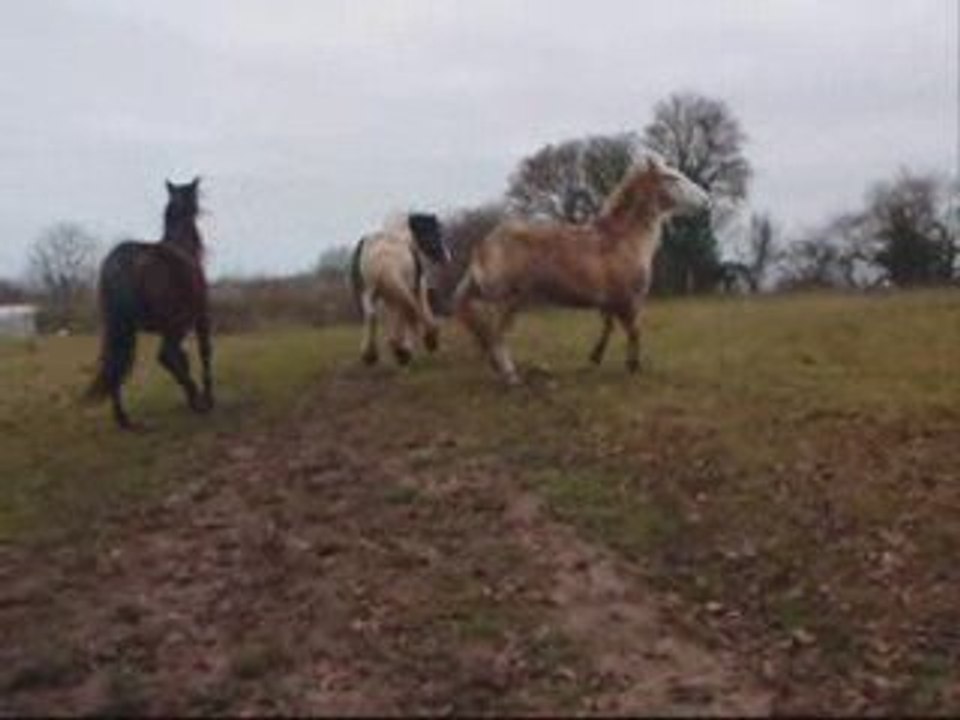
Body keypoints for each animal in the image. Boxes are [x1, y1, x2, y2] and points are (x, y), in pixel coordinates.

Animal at [84, 177, 213, 429]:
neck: (181, 246)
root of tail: (122, 261)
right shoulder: (200, 317)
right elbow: (203, 354)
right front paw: (206, 398)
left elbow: (183, 359)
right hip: (173, 324)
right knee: (164, 355)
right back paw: (196, 398)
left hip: (121, 329)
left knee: (115, 365)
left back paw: (123, 419)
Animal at [349, 213, 450, 366]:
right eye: (436, 233)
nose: (447, 257)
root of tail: (382, 255)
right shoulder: (418, 286)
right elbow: (418, 310)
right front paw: (425, 341)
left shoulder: (388, 294)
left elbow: (397, 317)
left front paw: (400, 347)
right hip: (398, 287)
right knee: (407, 311)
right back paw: (402, 350)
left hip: (370, 291)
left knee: (372, 315)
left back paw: (372, 354)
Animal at [454, 156, 711, 385]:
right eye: (672, 177)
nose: (706, 200)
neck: (623, 240)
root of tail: (484, 245)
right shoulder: (629, 300)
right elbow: (634, 330)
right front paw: (633, 365)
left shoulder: (608, 301)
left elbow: (609, 327)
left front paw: (595, 357)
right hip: (508, 301)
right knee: (496, 335)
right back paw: (510, 375)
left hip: (487, 293)